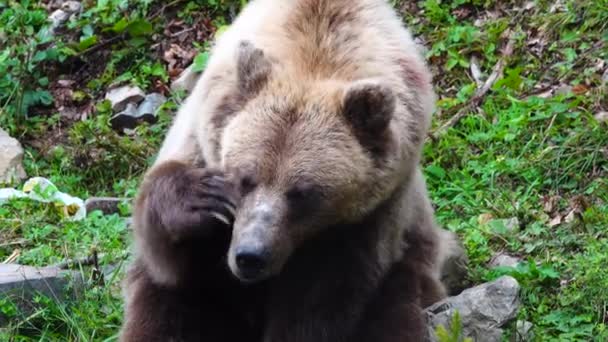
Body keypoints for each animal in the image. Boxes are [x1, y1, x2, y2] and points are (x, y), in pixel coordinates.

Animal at [121, 0, 458, 340]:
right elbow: (172, 264)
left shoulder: (370, 216)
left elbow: (322, 297)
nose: (250, 256)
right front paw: (203, 197)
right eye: (245, 179)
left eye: (302, 194)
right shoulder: (201, 139)